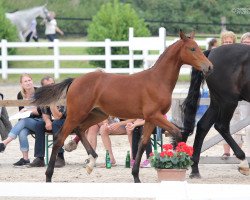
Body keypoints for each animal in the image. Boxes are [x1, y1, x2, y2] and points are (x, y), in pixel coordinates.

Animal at [32, 30, 213, 182]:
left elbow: (142, 144)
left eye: (199, 47)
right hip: (77, 114)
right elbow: (177, 133)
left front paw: (136, 177)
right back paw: (49, 176)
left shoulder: (150, 119)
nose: (209, 66)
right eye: (192, 49)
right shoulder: (155, 116)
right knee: (59, 138)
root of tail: (75, 80)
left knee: (80, 129)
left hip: (97, 114)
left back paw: (91, 162)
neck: (158, 80)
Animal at [182, 43, 250, 178]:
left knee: (202, 126)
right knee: (221, 126)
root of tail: (211, 52)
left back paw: (195, 170)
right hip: (228, 101)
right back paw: (244, 163)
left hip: (217, 103)